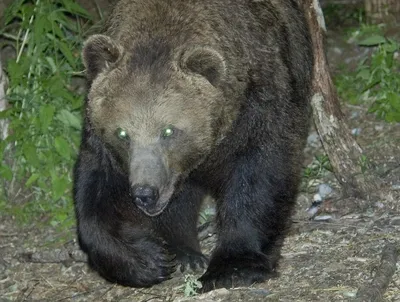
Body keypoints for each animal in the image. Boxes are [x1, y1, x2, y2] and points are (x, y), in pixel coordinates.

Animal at [74, 0, 312, 292]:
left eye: (168, 130)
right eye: (122, 133)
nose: (145, 193)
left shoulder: (258, 110)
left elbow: (260, 177)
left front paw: (233, 267)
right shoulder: (103, 146)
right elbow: (98, 198)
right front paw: (149, 259)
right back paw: (186, 254)